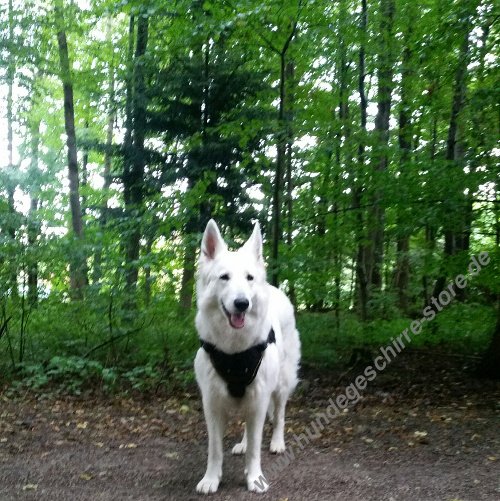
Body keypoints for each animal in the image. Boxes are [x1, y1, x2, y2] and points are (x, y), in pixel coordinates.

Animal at [193, 219, 298, 492]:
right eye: (224, 277)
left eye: (249, 278)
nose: (242, 303)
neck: (234, 350)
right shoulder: (212, 402)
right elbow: (215, 449)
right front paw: (211, 479)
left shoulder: (259, 397)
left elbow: (255, 449)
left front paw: (254, 478)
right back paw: (242, 443)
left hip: (281, 384)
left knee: (279, 415)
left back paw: (277, 442)